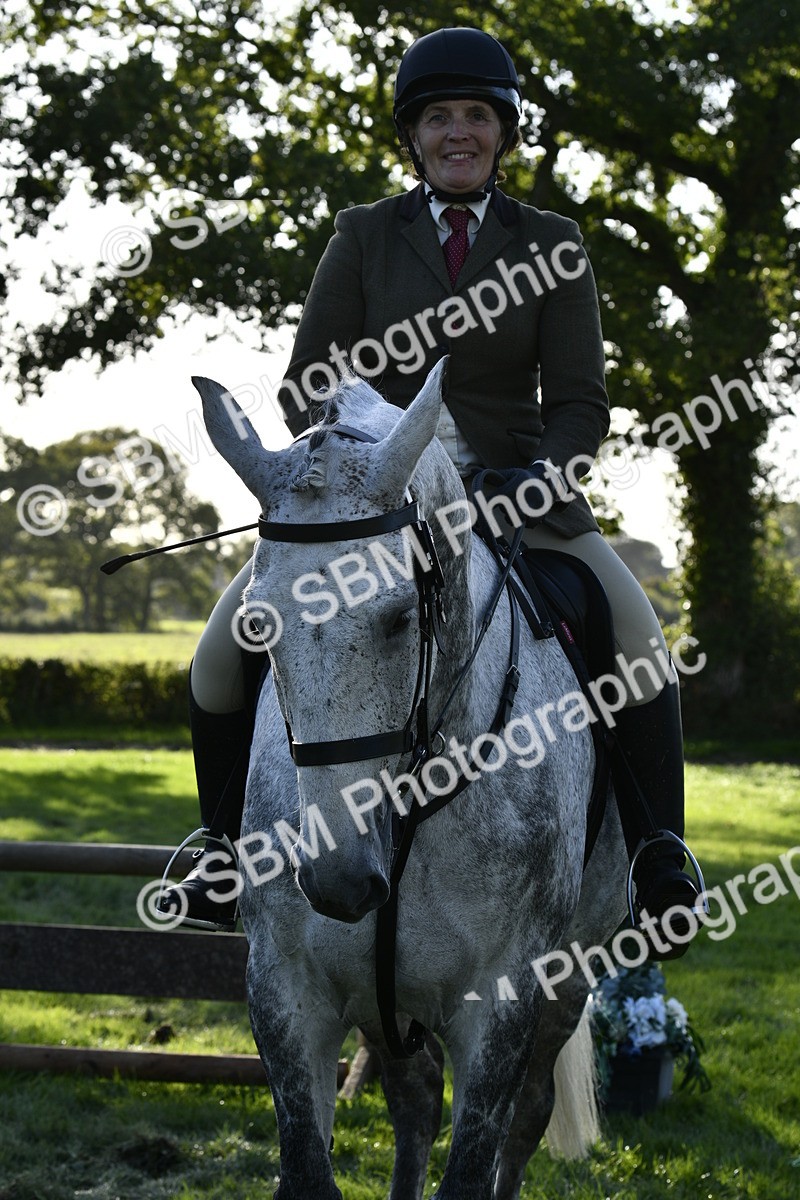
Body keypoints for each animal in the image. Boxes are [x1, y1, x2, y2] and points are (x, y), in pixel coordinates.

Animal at [193, 358, 629, 1200]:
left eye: (400, 616)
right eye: (257, 624)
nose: (336, 880)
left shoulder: (503, 999)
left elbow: (477, 1161)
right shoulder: (287, 987)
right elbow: (309, 1169)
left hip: (571, 977)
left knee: (526, 1117)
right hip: (383, 1001)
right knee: (416, 1099)